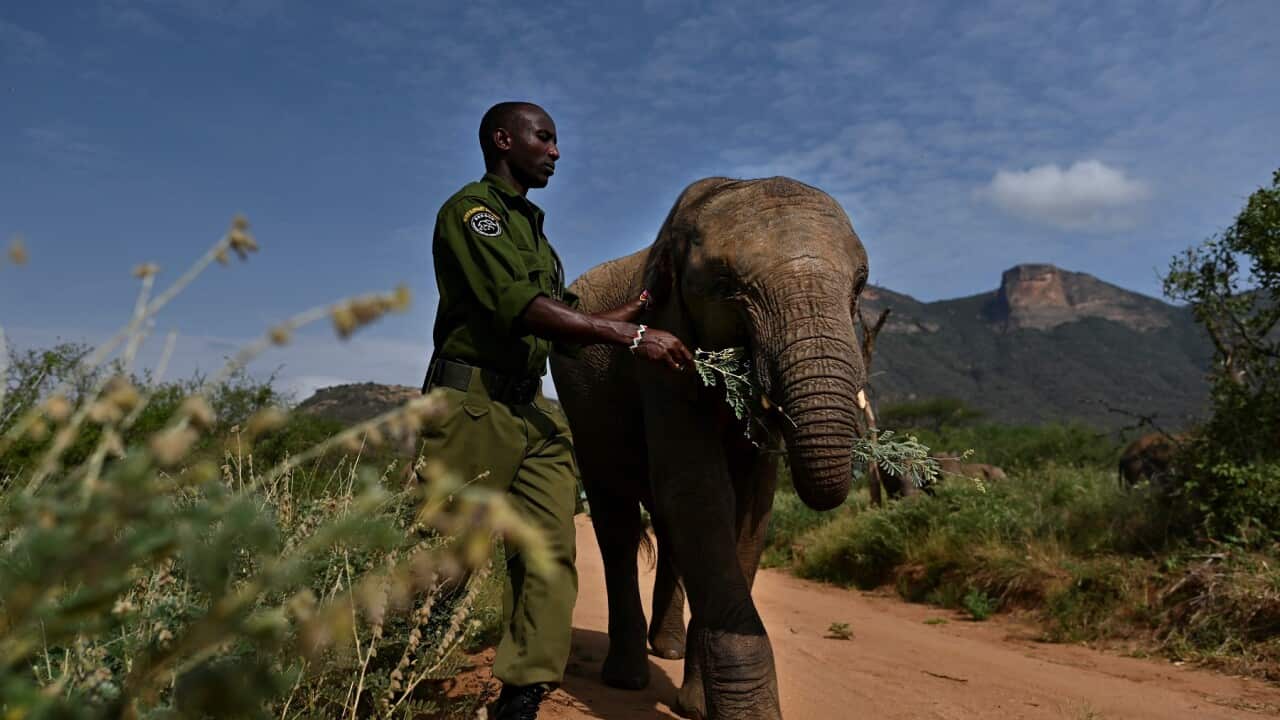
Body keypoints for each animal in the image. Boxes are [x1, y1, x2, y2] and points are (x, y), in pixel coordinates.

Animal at [550, 176, 869, 719]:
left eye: (861, 284)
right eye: (726, 287)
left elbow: (750, 508)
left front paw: (699, 706)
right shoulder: (664, 332)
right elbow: (698, 491)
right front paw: (742, 712)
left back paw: (669, 649)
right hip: (581, 403)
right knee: (617, 522)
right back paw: (627, 677)